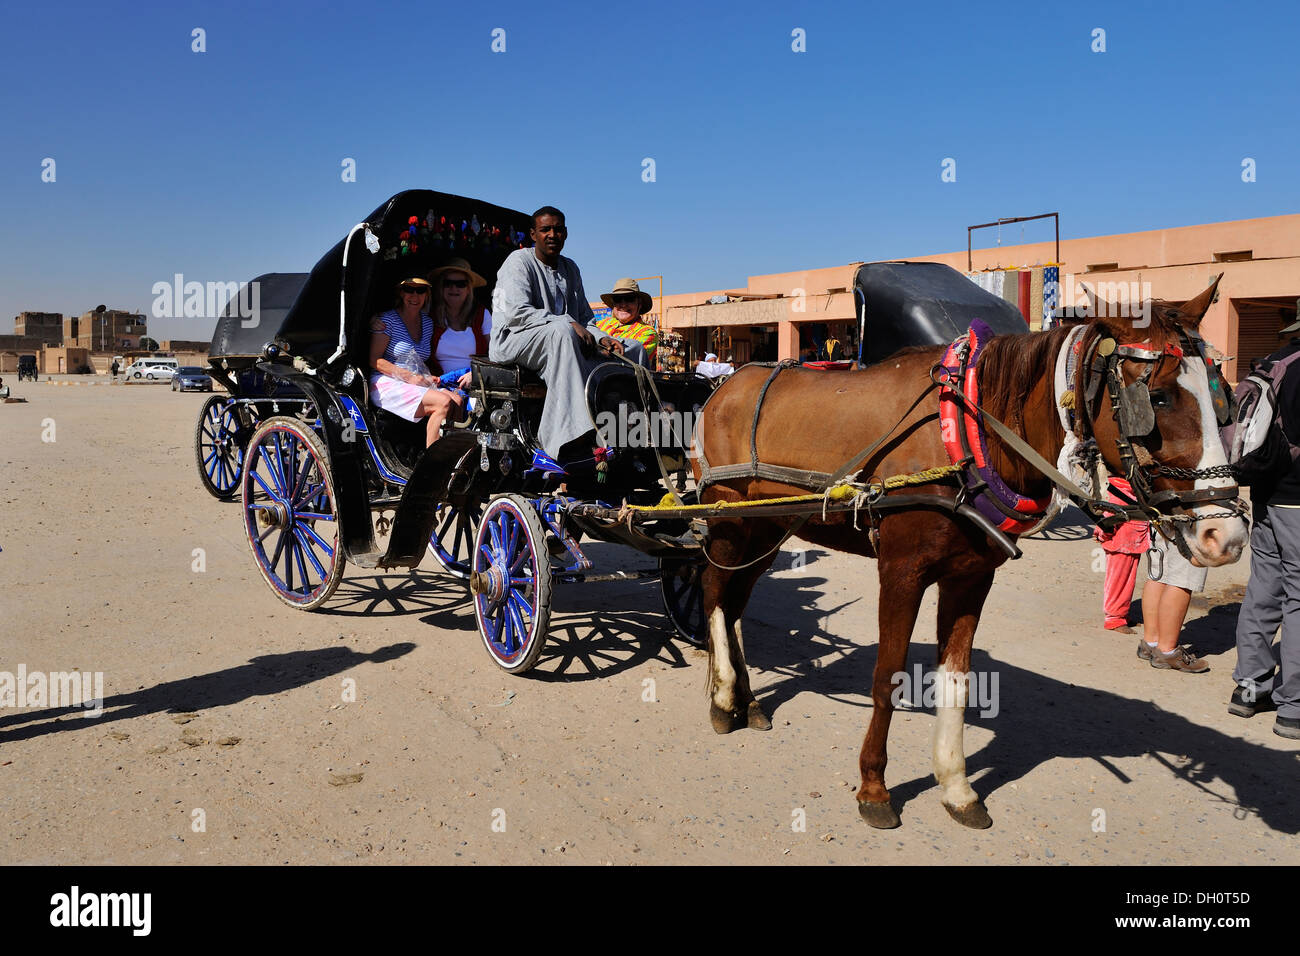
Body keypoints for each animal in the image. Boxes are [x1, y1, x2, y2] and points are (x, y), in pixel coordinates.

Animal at [690, 278, 1249, 829]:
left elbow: (957, 681)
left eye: (1221, 396)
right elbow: (887, 675)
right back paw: (721, 698)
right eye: (1156, 397)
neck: (965, 434)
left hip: (769, 528)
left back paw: (747, 700)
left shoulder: (971, 576)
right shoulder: (901, 571)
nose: (1226, 536)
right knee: (714, 592)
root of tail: (724, 389)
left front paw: (956, 786)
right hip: (729, 519)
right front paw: (873, 786)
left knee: (736, 602)